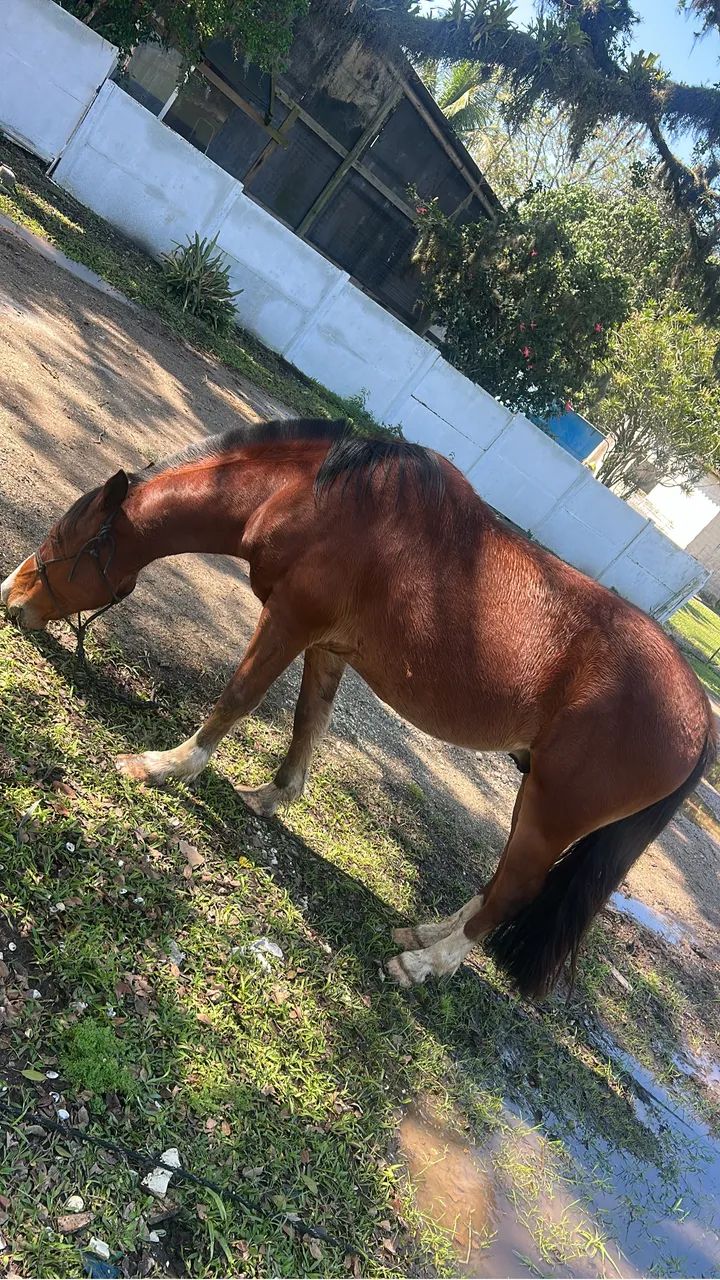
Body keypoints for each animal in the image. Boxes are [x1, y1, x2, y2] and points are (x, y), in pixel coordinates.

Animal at [2, 419, 713, 998]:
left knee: (513, 890)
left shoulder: (289, 621)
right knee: (497, 883)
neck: (314, 500)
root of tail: (700, 719)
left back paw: (424, 965)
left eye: (63, 540)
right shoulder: (327, 643)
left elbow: (238, 697)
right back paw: (422, 933)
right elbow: (307, 723)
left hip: (552, 811)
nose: (11, 599)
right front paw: (270, 797)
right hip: (534, 798)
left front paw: (164, 766)